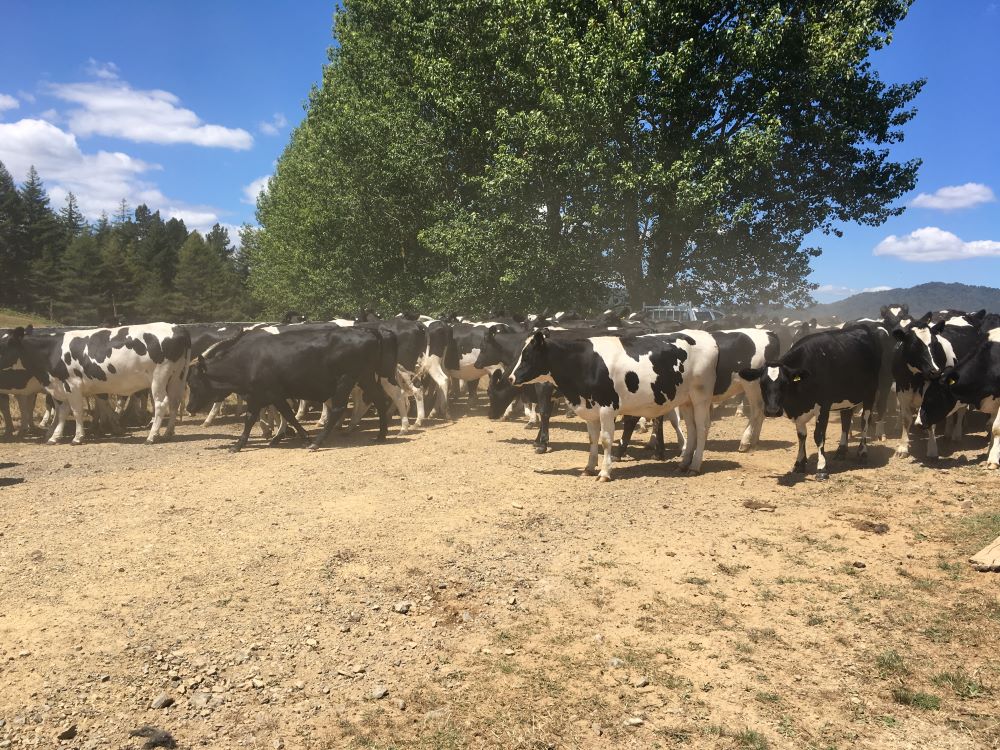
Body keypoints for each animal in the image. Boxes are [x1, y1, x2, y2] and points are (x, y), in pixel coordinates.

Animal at [0, 324, 190, 445]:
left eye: (4, 344)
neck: (52, 351)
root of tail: (177, 327)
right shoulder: (59, 388)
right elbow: (62, 413)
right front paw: (55, 437)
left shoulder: (72, 386)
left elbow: (76, 411)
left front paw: (77, 438)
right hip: (177, 376)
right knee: (175, 402)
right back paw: (167, 433)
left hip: (159, 377)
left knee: (161, 403)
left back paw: (151, 436)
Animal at [186, 326, 395, 452]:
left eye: (193, 383)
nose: (189, 408)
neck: (247, 360)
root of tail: (368, 330)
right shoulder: (275, 395)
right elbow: (289, 415)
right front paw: (303, 435)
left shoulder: (259, 395)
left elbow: (251, 418)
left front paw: (238, 444)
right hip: (365, 377)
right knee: (379, 399)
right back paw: (381, 435)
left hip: (346, 380)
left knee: (338, 409)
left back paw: (318, 442)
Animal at [508, 329, 719, 480]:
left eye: (527, 356)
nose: (511, 378)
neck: (585, 363)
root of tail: (706, 336)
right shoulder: (590, 409)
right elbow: (592, 439)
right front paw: (589, 468)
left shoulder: (607, 408)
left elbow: (606, 440)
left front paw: (604, 472)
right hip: (687, 400)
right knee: (691, 428)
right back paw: (683, 464)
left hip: (701, 397)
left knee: (702, 428)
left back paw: (694, 466)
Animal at [740, 324, 891, 480]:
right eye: (762, 383)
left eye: (785, 383)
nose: (772, 411)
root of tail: (863, 327)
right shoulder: (799, 412)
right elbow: (801, 436)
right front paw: (799, 464)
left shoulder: (823, 407)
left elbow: (818, 436)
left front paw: (821, 468)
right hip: (847, 397)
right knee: (846, 420)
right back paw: (841, 450)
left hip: (871, 392)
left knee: (865, 420)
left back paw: (862, 453)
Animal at [916, 328, 1000, 469]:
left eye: (932, 397)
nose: (918, 423)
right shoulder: (993, 402)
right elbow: (990, 426)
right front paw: (990, 452)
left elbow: (996, 428)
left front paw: (993, 460)